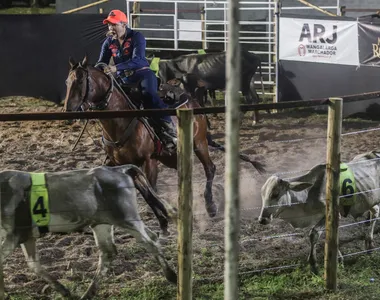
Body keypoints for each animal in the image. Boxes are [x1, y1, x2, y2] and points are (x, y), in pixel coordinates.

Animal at [63, 56, 266, 229]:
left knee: (210, 168)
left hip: (199, 143)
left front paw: (166, 215)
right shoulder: (122, 164)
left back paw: (210, 205)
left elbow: (151, 189)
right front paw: (163, 216)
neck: (119, 120)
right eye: (66, 82)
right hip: (172, 156)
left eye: (80, 81)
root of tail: (192, 101)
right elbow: (145, 192)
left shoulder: (149, 160)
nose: (68, 109)